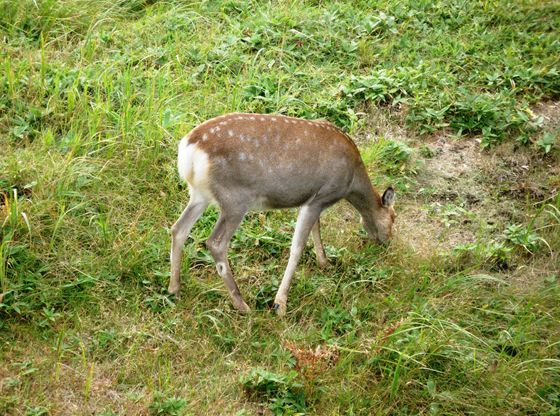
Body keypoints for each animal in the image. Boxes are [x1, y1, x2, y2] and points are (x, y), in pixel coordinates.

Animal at [168, 113, 396, 316]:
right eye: (393, 219)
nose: (386, 243)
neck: (352, 181)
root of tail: (189, 150)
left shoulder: (312, 200)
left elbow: (316, 229)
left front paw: (324, 262)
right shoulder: (322, 196)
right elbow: (297, 248)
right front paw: (280, 304)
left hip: (200, 195)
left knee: (178, 229)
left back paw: (174, 289)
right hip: (235, 199)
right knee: (215, 243)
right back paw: (242, 304)